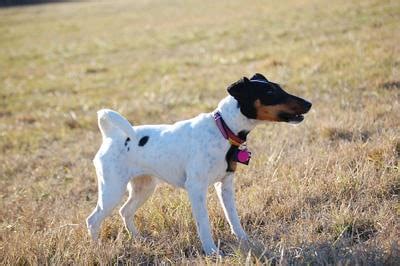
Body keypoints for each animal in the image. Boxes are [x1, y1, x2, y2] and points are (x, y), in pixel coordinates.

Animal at [86, 73, 312, 256]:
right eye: (270, 92)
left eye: (278, 87)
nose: (309, 103)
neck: (223, 129)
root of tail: (110, 136)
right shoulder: (196, 188)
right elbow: (203, 223)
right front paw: (211, 251)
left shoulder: (225, 185)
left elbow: (233, 218)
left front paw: (245, 241)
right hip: (112, 190)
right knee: (93, 220)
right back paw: (97, 249)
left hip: (144, 187)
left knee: (125, 211)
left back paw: (139, 239)